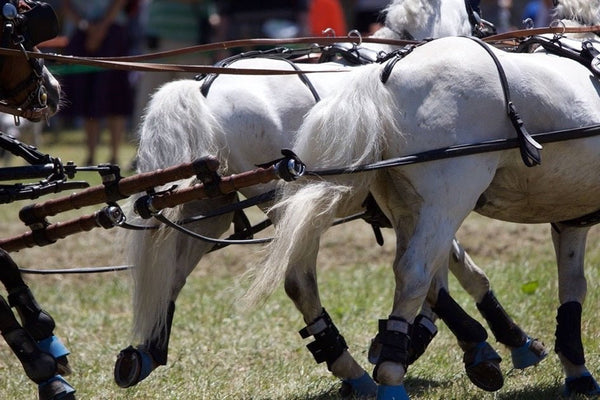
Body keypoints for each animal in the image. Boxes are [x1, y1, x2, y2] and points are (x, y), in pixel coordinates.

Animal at [113, 0, 544, 394]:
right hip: (285, 206)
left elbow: (441, 273)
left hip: (211, 205)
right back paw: (353, 371)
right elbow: (453, 270)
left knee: (171, 273)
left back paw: (144, 353)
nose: (491, 31)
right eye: (475, 11)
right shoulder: (433, 197)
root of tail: (202, 88)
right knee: (297, 282)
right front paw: (500, 342)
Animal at [251, 0, 600, 396]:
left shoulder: (570, 213)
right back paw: (391, 377)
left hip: (406, 207)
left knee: (332, 276)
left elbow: (571, 285)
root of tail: (382, 78)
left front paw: (575, 370)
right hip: (447, 202)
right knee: (413, 273)